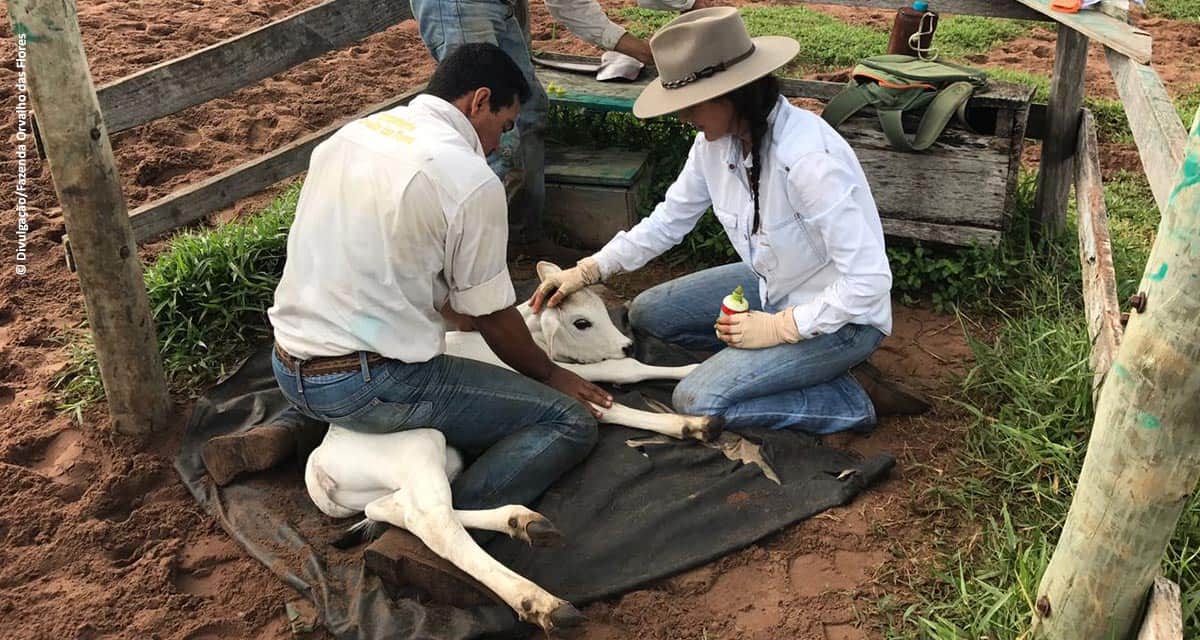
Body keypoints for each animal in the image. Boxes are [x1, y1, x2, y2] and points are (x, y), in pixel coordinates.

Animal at [307, 261, 720, 629]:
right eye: (581, 322)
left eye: (603, 311)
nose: (626, 344)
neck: (535, 340)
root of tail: (319, 464)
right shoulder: (566, 378)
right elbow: (619, 380)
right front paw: (690, 401)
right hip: (420, 443)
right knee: (433, 522)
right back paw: (540, 601)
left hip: (440, 462)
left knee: (393, 509)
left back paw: (521, 522)